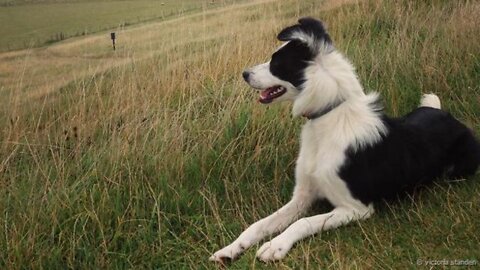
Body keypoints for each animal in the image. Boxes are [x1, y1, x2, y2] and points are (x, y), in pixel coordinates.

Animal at [210, 17, 480, 264]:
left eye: (276, 62)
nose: (244, 74)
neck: (328, 115)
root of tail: (447, 115)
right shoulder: (302, 197)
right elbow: (260, 224)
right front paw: (230, 249)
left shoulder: (355, 208)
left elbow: (303, 223)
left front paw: (275, 245)